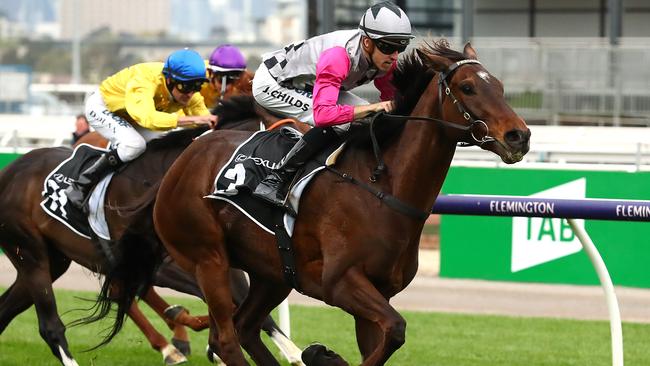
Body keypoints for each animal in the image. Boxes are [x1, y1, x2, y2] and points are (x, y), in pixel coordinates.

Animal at [0, 97, 308, 366]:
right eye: (290, 135)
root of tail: (9, 172)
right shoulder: (166, 263)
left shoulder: (213, 258)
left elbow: (244, 303)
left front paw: (292, 351)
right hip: (31, 253)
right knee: (51, 325)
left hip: (54, 260)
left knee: (8, 307)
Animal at [100, 40, 528, 364]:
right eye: (469, 88)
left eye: (500, 86)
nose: (519, 136)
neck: (383, 187)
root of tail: (183, 159)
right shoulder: (340, 282)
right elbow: (396, 329)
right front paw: (323, 354)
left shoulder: (378, 293)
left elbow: (385, 339)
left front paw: (320, 354)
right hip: (209, 259)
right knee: (225, 338)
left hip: (272, 273)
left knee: (245, 327)